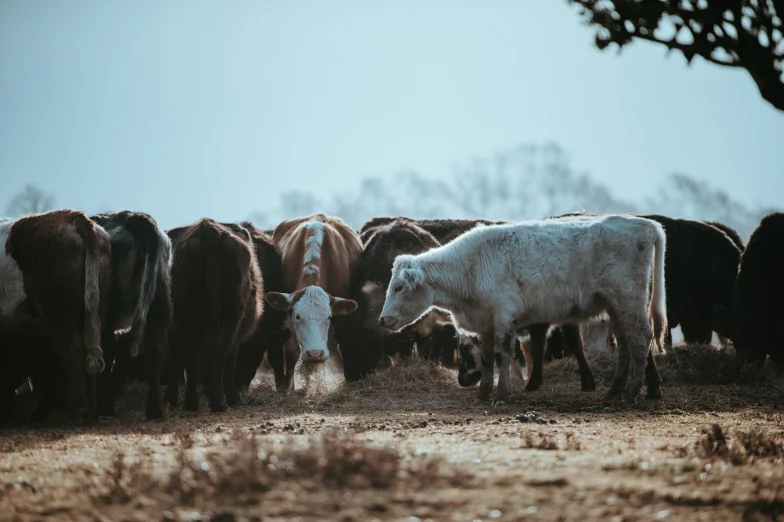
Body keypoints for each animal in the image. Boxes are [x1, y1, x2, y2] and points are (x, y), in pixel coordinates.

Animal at [2, 208, 112, 418]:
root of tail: (74, 217)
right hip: (95, 309)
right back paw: (91, 410)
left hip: (58, 312)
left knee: (73, 350)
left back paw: (77, 408)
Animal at [380, 214, 668, 402]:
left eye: (398, 287)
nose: (383, 320)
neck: (471, 266)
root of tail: (647, 224)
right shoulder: (485, 321)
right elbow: (488, 358)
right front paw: (484, 392)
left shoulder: (504, 316)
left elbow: (503, 354)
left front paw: (503, 393)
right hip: (616, 306)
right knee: (625, 343)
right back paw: (614, 391)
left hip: (629, 299)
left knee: (640, 338)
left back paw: (631, 393)